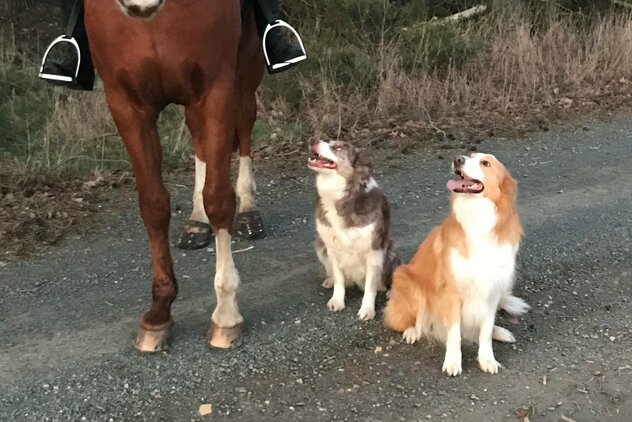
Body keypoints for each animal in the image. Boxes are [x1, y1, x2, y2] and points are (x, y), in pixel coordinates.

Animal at [83, 0, 264, 352]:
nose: (138, 5)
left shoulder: (216, 90)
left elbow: (218, 198)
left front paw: (226, 313)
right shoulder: (127, 105)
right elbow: (153, 205)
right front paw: (159, 313)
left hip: (245, 74)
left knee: (245, 125)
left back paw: (249, 211)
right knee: (199, 139)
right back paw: (196, 222)